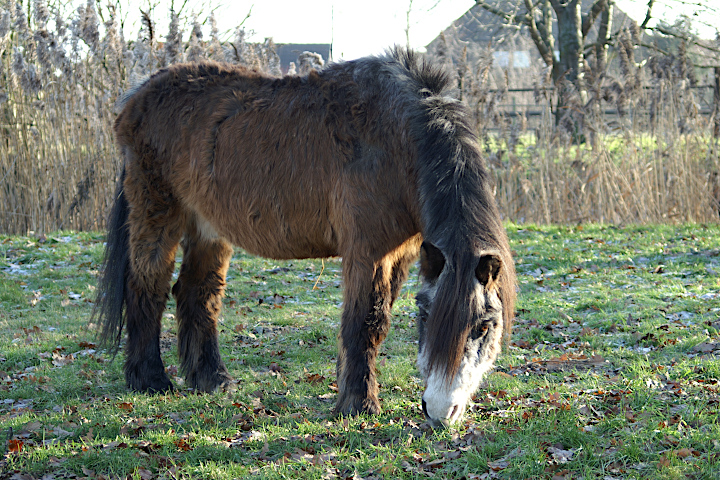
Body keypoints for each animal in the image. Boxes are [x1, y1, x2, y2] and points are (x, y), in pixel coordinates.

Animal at [93, 47, 516, 426]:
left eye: (484, 326)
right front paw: (358, 404)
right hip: (157, 213)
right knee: (148, 286)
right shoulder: (368, 251)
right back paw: (149, 379)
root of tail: (135, 97)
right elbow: (365, 321)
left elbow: (377, 320)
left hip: (208, 227)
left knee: (198, 294)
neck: (399, 139)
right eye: (427, 317)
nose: (441, 413)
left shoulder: (403, 254)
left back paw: (212, 380)